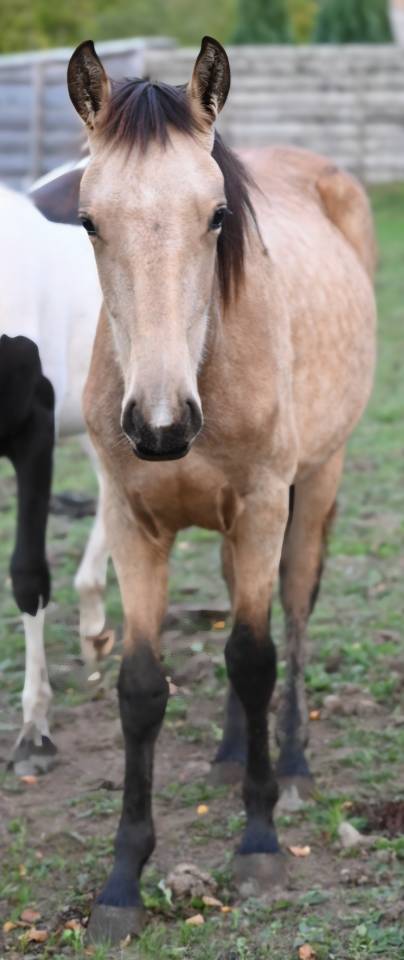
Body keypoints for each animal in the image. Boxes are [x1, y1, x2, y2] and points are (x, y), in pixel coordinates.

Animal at [66, 35, 377, 942]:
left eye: (216, 216)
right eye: (89, 221)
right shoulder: (130, 520)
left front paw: (260, 841)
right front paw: (123, 882)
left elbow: (254, 655)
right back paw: (233, 752)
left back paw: (292, 761)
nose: (161, 425)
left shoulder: (266, 503)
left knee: (293, 612)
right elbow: (141, 687)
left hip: (314, 484)